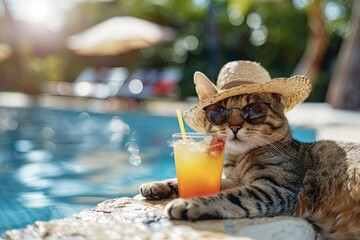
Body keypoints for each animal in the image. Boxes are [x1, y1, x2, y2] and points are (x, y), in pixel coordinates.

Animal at [140, 64, 360, 239]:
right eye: (219, 111)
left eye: (254, 110)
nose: (234, 126)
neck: (238, 160)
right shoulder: (233, 180)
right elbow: (193, 182)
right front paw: (159, 185)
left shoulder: (275, 188)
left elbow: (230, 197)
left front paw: (190, 203)